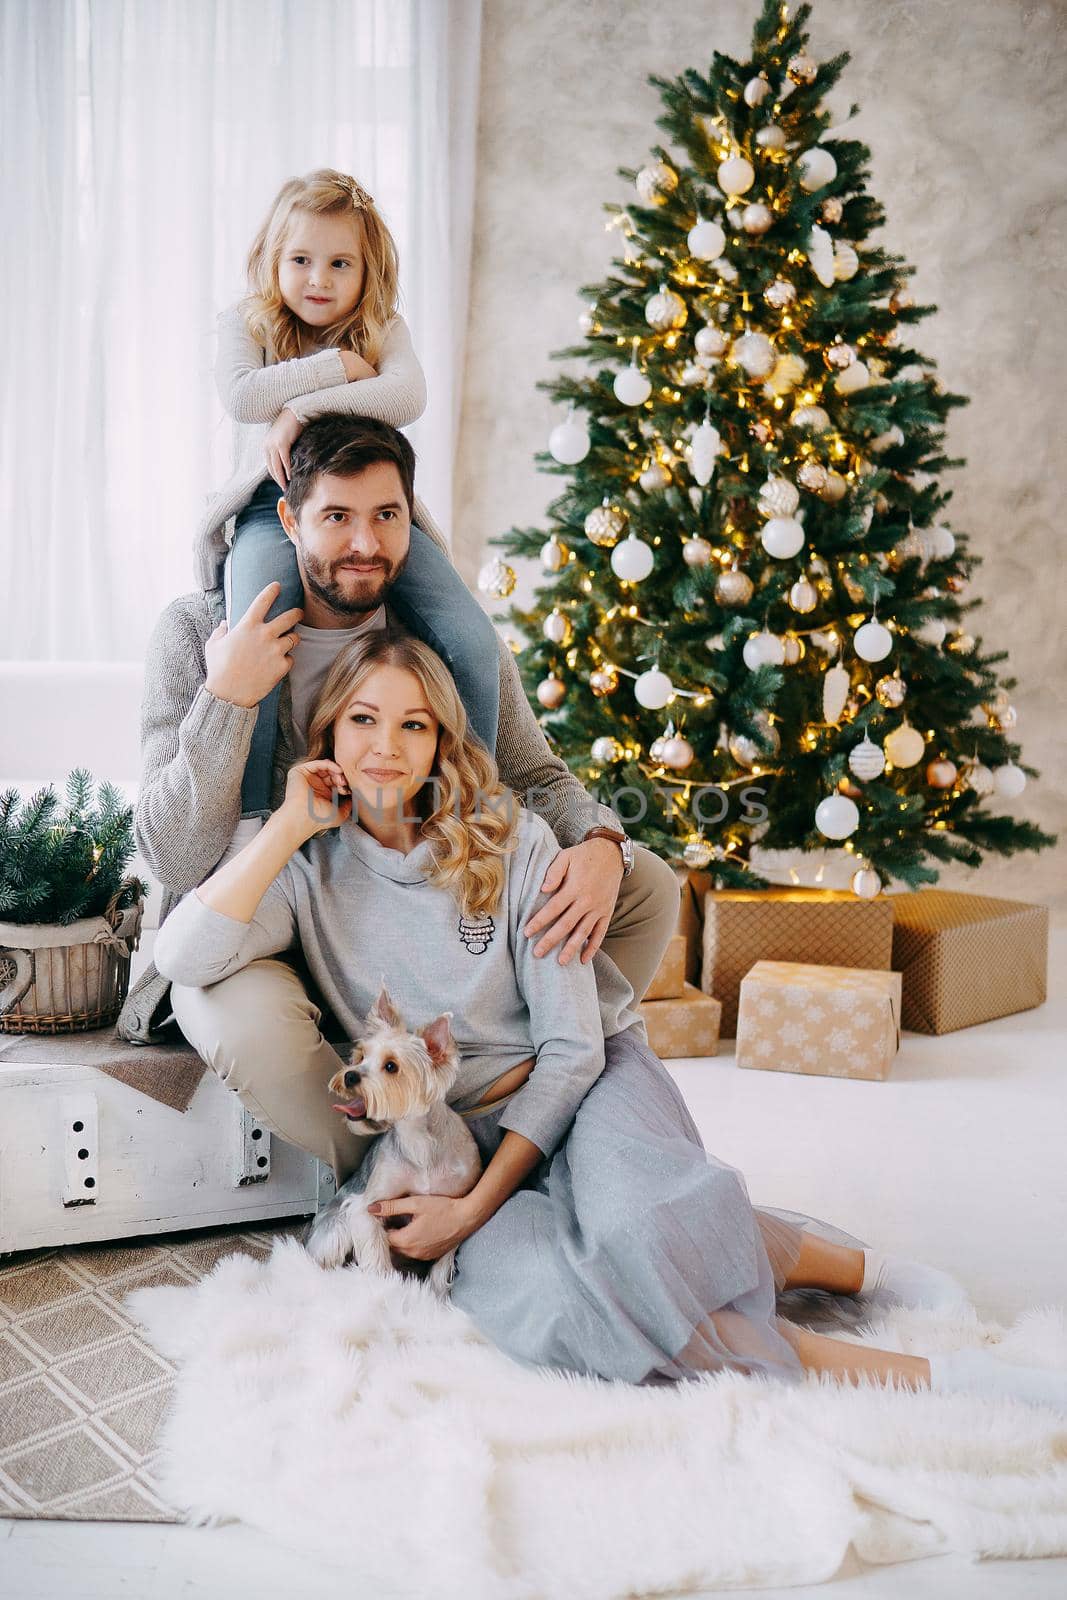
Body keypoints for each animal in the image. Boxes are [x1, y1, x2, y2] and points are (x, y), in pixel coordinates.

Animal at [302, 979, 483, 1292]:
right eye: (361, 1055)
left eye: (391, 1066)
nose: (350, 1075)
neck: (418, 1142)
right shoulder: (365, 1207)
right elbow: (376, 1255)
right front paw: (388, 1291)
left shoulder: (455, 1212)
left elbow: (443, 1261)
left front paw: (435, 1296)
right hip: (334, 1228)